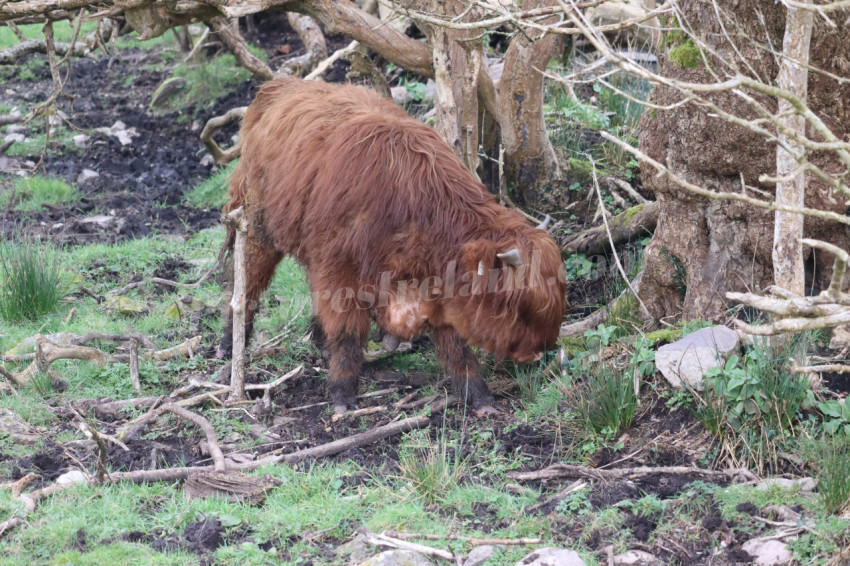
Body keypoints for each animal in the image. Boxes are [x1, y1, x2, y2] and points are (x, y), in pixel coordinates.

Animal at [217, 77, 567, 415]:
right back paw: (229, 345)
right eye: (519, 309)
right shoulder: (340, 270)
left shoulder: (436, 288)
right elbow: (346, 331)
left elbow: (455, 346)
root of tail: (279, 87)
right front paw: (342, 395)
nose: (538, 353)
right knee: (246, 286)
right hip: (257, 228)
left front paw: (479, 397)